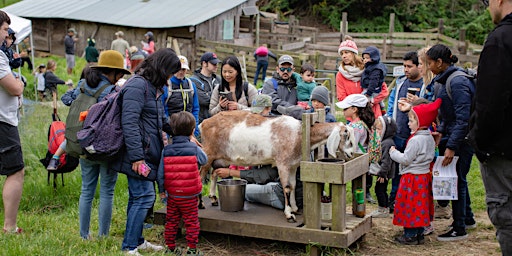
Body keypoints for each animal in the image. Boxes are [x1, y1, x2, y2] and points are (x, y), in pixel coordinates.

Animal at [198, 110, 354, 222]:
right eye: (347, 136)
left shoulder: (293, 165)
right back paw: (201, 204)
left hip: (220, 157)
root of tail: (204, 123)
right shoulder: (282, 164)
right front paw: (289, 214)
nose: (351, 153)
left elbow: (293, 185)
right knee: (200, 175)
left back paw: (213, 197)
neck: (298, 134)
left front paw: (294, 208)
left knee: (214, 172)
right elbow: (286, 188)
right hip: (207, 153)